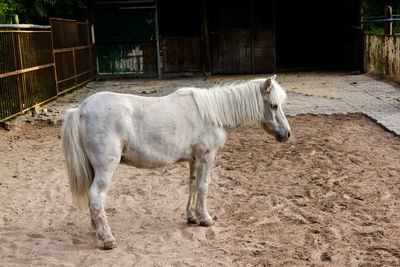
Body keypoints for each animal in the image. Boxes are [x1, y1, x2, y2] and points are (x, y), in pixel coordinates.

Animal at [62, 75, 290, 249]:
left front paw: (191, 217)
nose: (287, 134)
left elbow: (192, 186)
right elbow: (203, 187)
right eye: (274, 105)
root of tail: (80, 110)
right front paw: (205, 219)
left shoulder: (194, 160)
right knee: (97, 198)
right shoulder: (206, 157)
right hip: (106, 168)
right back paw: (107, 239)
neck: (212, 113)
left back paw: (97, 230)